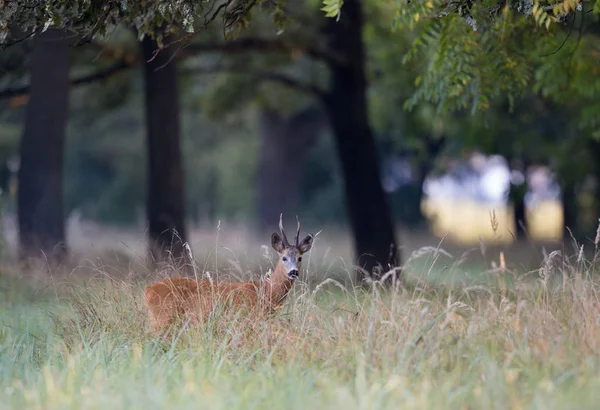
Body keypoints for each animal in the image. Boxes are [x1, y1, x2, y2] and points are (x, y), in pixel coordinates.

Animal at [144, 215, 316, 334]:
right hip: (162, 319)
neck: (265, 292)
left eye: (300, 258)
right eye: (284, 257)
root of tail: (147, 291)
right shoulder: (246, 319)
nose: (293, 272)